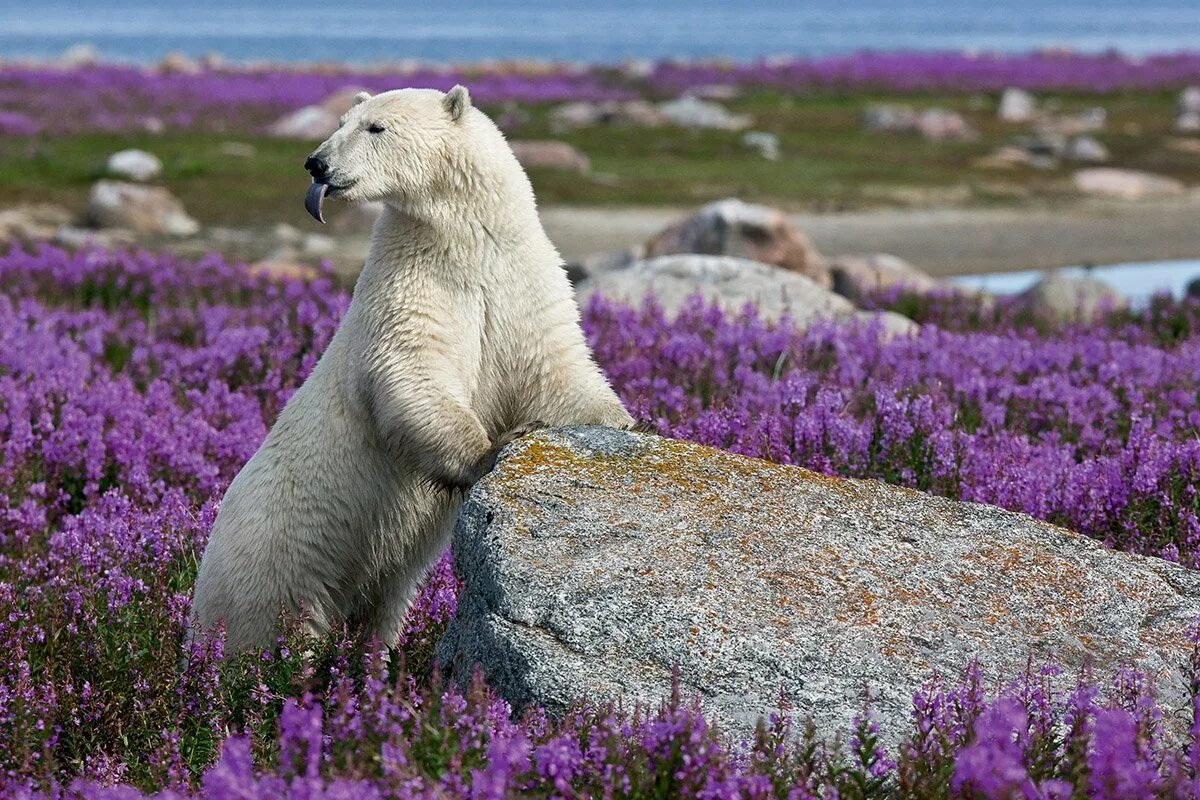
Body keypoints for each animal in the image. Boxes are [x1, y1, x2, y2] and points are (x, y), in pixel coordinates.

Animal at [187, 86, 633, 652]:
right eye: (342, 121)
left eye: (375, 127)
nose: (316, 163)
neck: (464, 241)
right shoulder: (413, 283)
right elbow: (411, 369)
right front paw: (488, 453)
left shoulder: (520, 283)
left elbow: (554, 366)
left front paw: (622, 421)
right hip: (275, 557)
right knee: (266, 631)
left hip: (382, 576)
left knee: (381, 609)